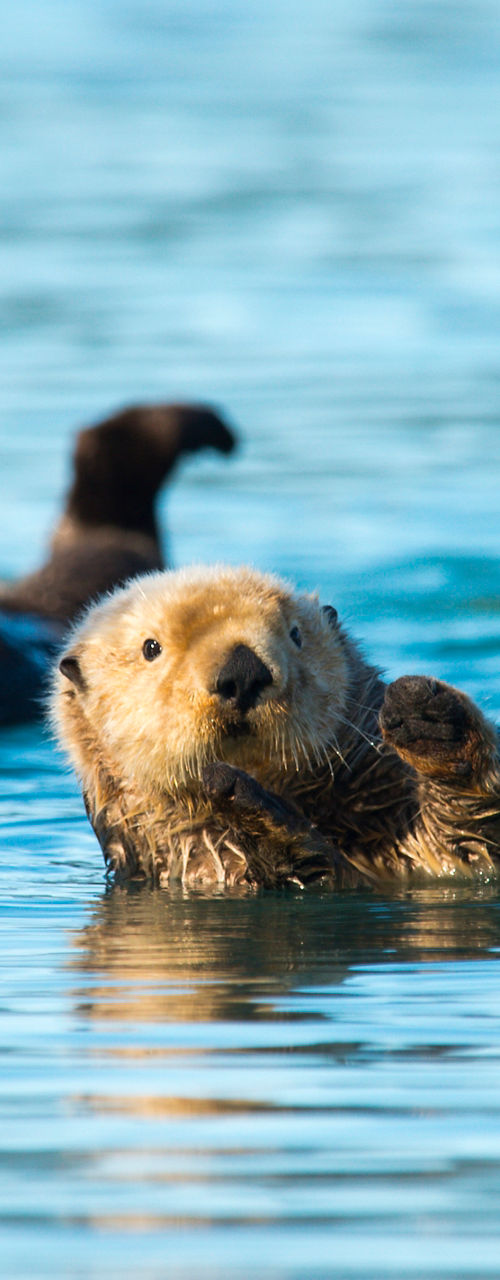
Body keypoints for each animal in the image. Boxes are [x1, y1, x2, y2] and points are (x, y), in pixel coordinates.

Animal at [51, 565, 500, 890]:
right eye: (151, 647)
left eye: (296, 634)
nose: (243, 670)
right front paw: (248, 807)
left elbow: (470, 846)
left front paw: (428, 718)